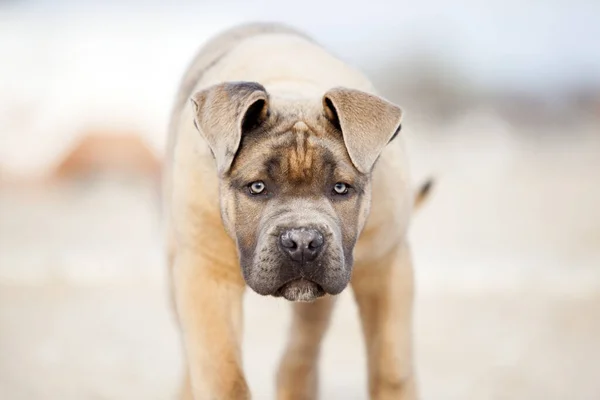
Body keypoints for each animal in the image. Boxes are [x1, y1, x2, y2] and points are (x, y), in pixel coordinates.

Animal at [162, 22, 428, 400]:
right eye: (257, 187)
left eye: (341, 188)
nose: (302, 241)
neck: (293, 88)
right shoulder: (205, 273)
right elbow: (222, 375)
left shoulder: (387, 266)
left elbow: (391, 368)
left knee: (302, 350)